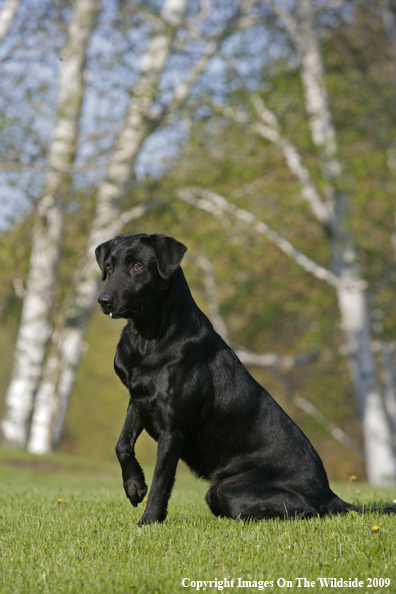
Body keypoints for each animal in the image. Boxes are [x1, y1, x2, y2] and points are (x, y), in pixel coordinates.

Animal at [96, 231, 396, 524]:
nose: (103, 301)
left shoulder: (173, 429)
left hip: (227, 487)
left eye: (137, 266)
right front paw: (134, 487)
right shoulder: (138, 399)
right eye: (109, 267)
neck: (146, 337)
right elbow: (121, 444)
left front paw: (148, 521)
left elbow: (161, 480)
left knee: (306, 512)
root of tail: (328, 494)